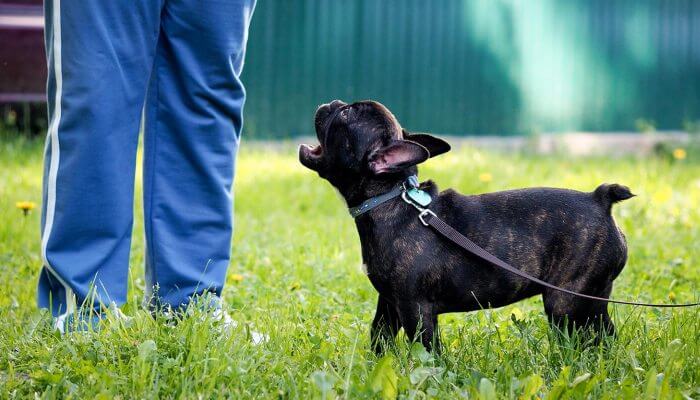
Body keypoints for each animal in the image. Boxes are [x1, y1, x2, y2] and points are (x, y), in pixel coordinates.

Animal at [298, 100, 632, 354]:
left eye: (346, 115)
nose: (332, 103)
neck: (390, 197)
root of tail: (599, 199)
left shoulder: (415, 308)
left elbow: (425, 349)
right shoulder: (389, 303)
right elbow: (379, 336)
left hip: (564, 302)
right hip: (593, 297)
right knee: (603, 332)